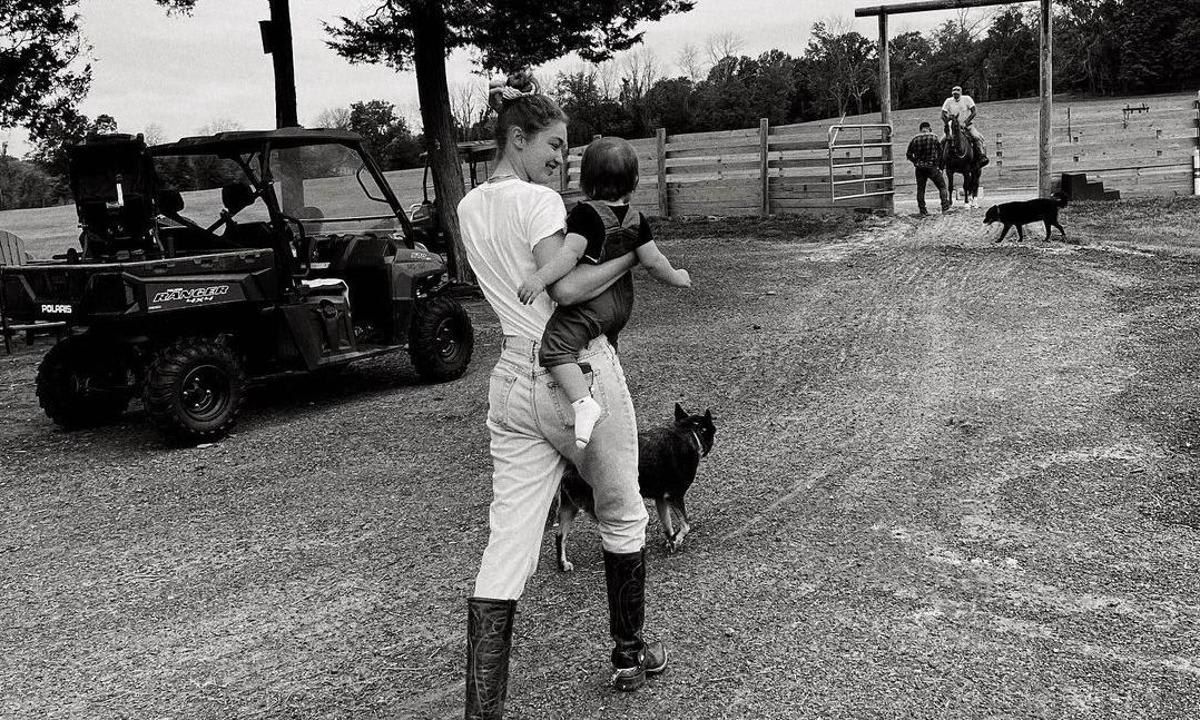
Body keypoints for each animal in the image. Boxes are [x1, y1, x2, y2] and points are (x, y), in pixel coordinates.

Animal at [556, 403, 715, 571]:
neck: (689, 432)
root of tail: (570, 466)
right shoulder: (675, 496)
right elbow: (685, 525)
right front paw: (676, 540)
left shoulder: (661, 499)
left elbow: (668, 525)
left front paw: (671, 542)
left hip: (569, 508)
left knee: (560, 536)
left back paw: (563, 563)